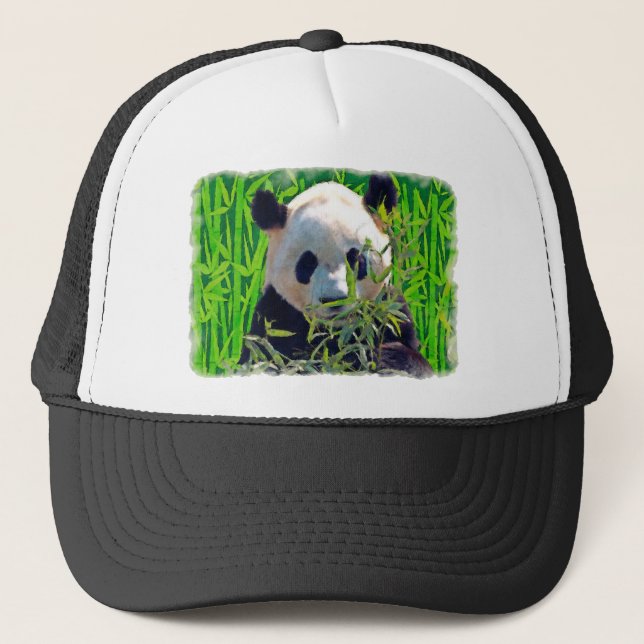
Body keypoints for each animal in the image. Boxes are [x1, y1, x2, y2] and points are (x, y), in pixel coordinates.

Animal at [241, 174, 432, 378]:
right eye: (308, 263)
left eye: (355, 259)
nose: (334, 300)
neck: (337, 331)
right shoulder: (275, 316)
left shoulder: (388, 311)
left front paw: (387, 356)